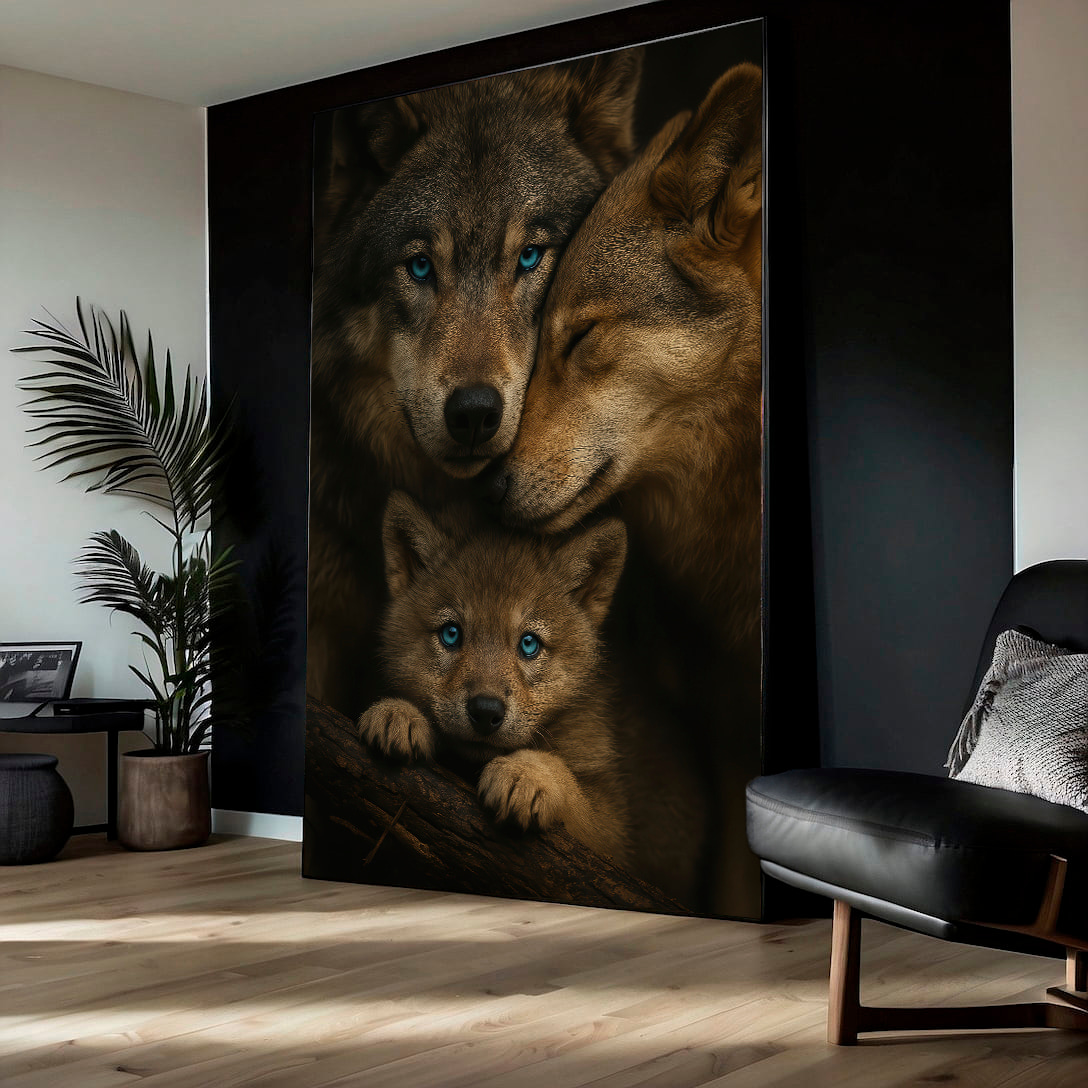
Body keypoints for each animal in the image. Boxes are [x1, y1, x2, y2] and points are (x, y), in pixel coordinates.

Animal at [357, 491, 708, 906]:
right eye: (451, 634)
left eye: (529, 643)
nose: (485, 712)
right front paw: (398, 713)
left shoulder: (613, 839)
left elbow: (566, 779)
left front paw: (527, 774)